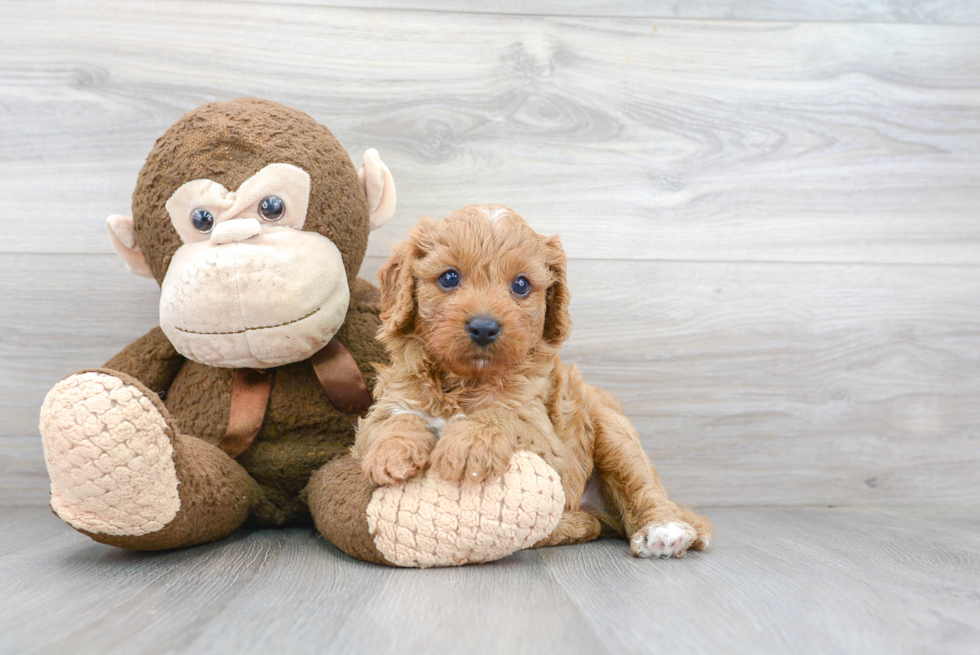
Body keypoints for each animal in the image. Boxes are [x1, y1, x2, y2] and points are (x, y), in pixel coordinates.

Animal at [354, 206, 712, 560]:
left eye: (521, 285)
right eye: (449, 277)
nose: (484, 327)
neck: (468, 381)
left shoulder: (543, 434)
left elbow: (501, 413)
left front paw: (467, 445)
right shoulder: (387, 406)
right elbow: (395, 419)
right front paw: (390, 453)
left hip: (612, 430)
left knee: (642, 484)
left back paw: (663, 531)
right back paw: (577, 525)